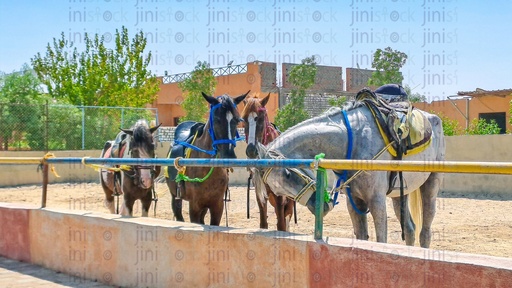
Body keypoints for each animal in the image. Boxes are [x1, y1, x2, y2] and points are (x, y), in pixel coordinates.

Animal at [166, 92, 248, 225]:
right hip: (175, 196)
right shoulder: (194, 206)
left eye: (237, 120)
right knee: (178, 214)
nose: (229, 156)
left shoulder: (217, 206)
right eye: (217, 119)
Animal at [239, 94, 294, 232]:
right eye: (244, 119)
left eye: (260, 119)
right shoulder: (260, 193)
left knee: (287, 216)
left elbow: (281, 225)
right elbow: (263, 223)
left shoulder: (279, 196)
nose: (251, 150)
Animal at [258, 99, 446, 248]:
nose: (320, 207)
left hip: (431, 184)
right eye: (276, 191)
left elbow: (381, 240)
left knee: (425, 231)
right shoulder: (354, 201)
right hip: (401, 192)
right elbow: (362, 238)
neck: (353, 141)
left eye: (288, 175)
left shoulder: (376, 200)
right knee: (409, 230)